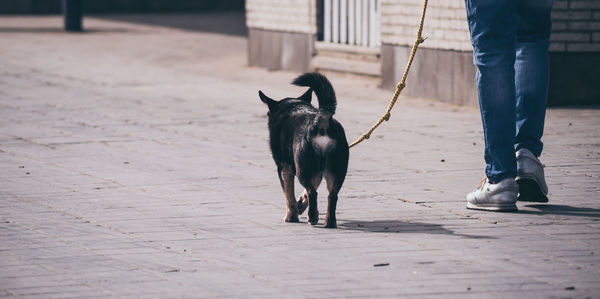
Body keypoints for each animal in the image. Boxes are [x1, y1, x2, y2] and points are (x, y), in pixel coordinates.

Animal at [258, 73, 352, 230]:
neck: (294, 106)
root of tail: (321, 119)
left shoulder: (284, 168)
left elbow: (289, 196)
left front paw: (291, 216)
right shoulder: (317, 172)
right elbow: (305, 193)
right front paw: (301, 204)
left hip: (302, 169)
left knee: (313, 192)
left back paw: (312, 218)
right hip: (336, 172)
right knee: (332, 195)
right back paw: (329, 222)